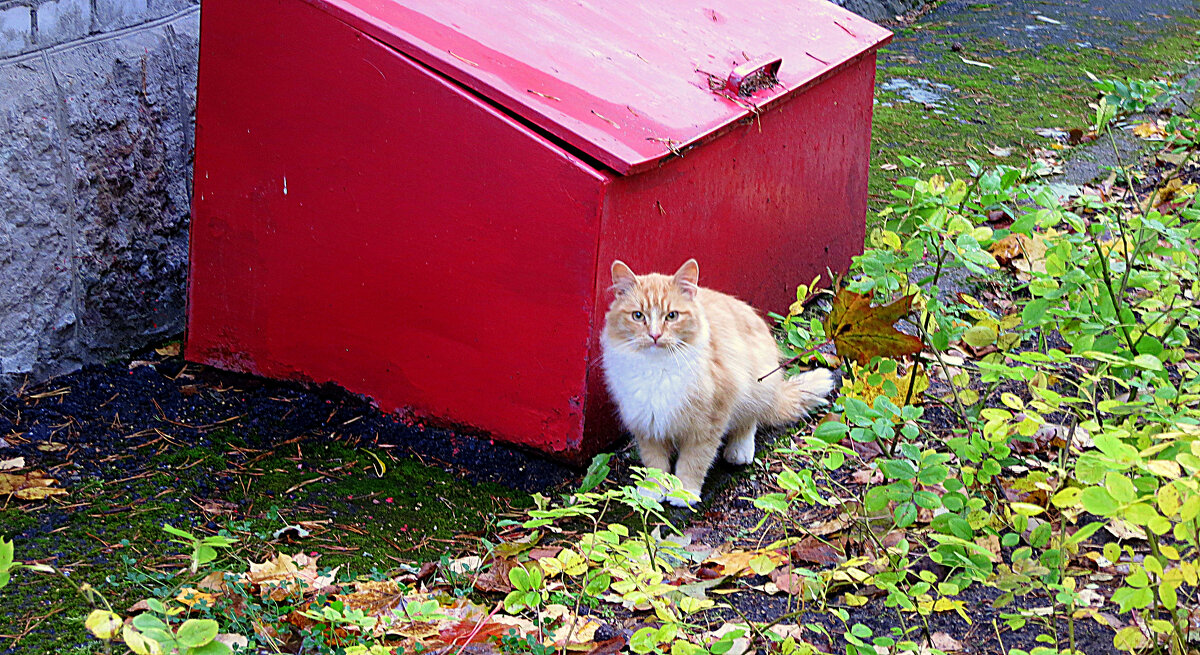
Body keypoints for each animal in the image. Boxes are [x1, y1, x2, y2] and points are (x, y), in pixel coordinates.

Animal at [600, 257, 835, 501]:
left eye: (672, 316)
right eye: (638, 316)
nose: (655, 335)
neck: (657, 369)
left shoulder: (709, 423)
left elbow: (694, 461)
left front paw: (684, 493)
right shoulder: (647, 424)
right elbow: (655, 463)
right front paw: (652, 491)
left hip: (755, 385)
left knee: (750, 420)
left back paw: (739, 451)